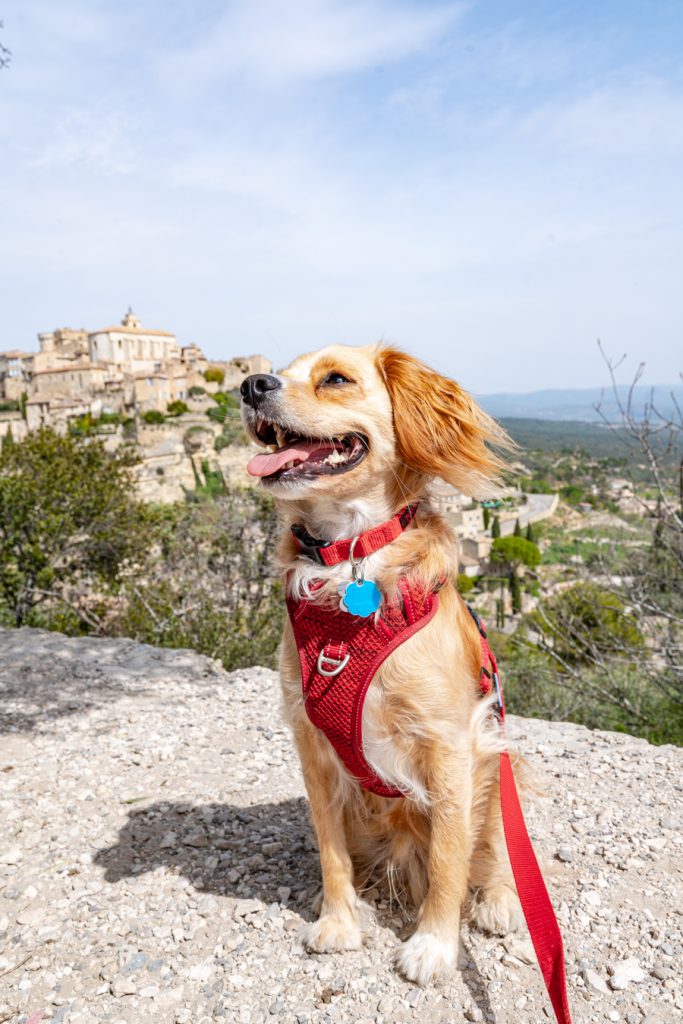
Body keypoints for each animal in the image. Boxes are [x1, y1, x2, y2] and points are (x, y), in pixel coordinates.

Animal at [240, 348, 524, 987]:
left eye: (335, 379)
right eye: (278, 368)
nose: (249, 385)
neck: (349, 560)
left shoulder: (450, 746)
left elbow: (449, 858)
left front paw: (435, 946)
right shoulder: (312, 745)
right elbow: (330, 850)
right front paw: (340, 920)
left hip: (496, 771)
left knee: (495, 849)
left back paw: (498, 901)